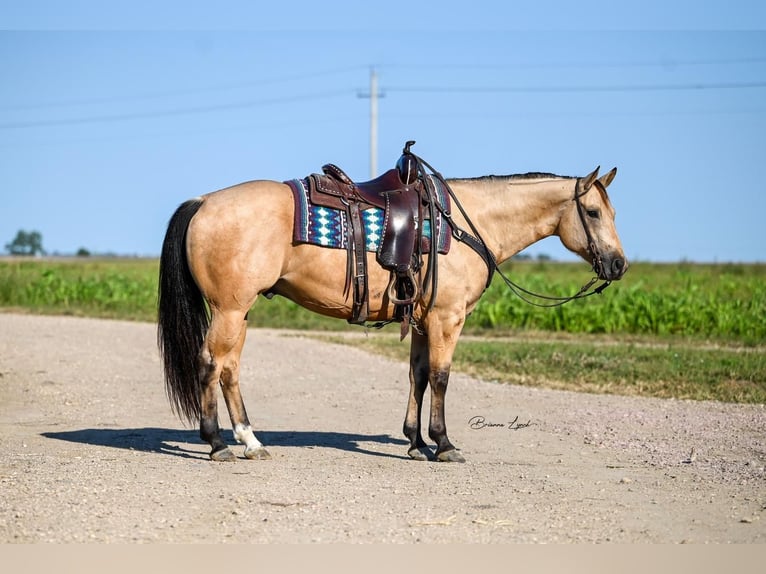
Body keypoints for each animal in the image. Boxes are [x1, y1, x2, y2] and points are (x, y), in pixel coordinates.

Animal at [158, 143, 632, 464]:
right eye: (593, 212)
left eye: (611, 213)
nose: (618, 264)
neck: (463, 224)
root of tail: (204, 202)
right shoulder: (446, 318)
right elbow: (440, 377)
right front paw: (444, 444)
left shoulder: (423, 320)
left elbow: (417, 376)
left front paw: (416, 442)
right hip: (230, 309)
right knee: (210, 364)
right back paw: (218, 444)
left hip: (239, 311)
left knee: (230, 369)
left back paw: (251, 441)